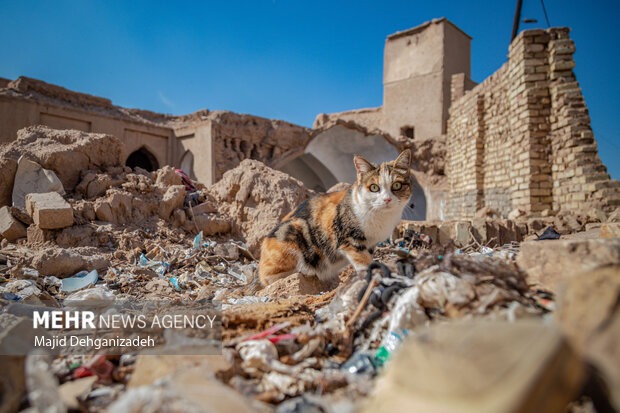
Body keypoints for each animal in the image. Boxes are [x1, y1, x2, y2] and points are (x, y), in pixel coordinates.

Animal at [260, 150, 414, 284]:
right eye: (374, 187)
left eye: (397, 185)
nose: (387, 199)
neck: (381, 216)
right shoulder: (349, 239)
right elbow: (363, 261)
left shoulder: (371, 243)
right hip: (292, 234)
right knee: (268, 278)